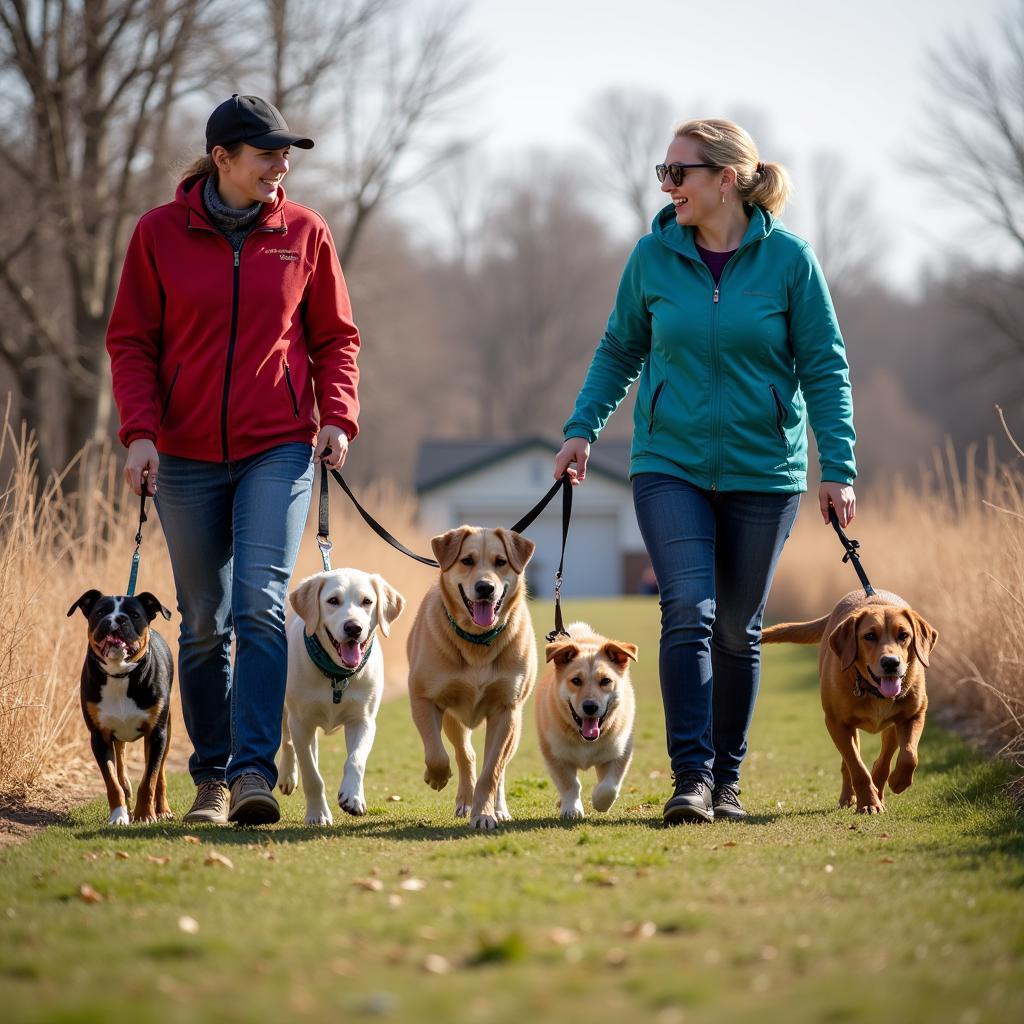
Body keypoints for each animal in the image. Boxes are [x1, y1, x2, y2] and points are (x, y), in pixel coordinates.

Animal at [67, 593, 174, 823]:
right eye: (100, 612)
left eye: (134, 614)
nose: (116, 619)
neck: (120, 674)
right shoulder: (99, 736)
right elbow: (112, 781)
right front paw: (119, 814)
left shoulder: (156, 734)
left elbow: (149, 779)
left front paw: (145, 815)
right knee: (122, 761)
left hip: (166, 731)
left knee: (160, 772)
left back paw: (162, 809)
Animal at [284, 569, 407, 823]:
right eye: (333, 601)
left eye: (367, 601)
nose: (353, 628)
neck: (337, 675)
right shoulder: (301, 722)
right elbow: (312, 774)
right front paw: (317, 814)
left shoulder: (363, 721)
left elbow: (355, 760)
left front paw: (353, 797)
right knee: (287, 739)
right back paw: (287, 776)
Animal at [405, 524, 540, 827]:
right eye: (467, 560)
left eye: (500, 562)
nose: (485, 587)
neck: (477, 641)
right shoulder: (425, 698)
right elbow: (437, 753)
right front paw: (436, 776)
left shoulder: (506, 709)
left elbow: (492, 770)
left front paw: (485, 814)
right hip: (454, 717)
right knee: (465, 753)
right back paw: (465, 800)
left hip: (516, 723)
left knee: (500, 765)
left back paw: (496, 807)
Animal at [532, 618, 634, 819]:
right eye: (576, 681)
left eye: (606, 681)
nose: (590, 706)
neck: (585, 739)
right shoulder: (554, 753)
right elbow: (569, 783)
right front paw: (571, 809)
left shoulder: (621, 750)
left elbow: (609, 787)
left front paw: (599, 801)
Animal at [765, 589, 937, 811]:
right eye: (869, 636)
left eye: (904, 635)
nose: (891, 663)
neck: (874, 691)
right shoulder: (837, 723)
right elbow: (857, 768)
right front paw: (869, 803)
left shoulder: (914, 715)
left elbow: (909, 755)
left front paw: (898, 781)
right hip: (850, 729)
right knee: (849, 764)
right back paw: (850, 797)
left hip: (891, 727)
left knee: (884, 759)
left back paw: (880, 790)